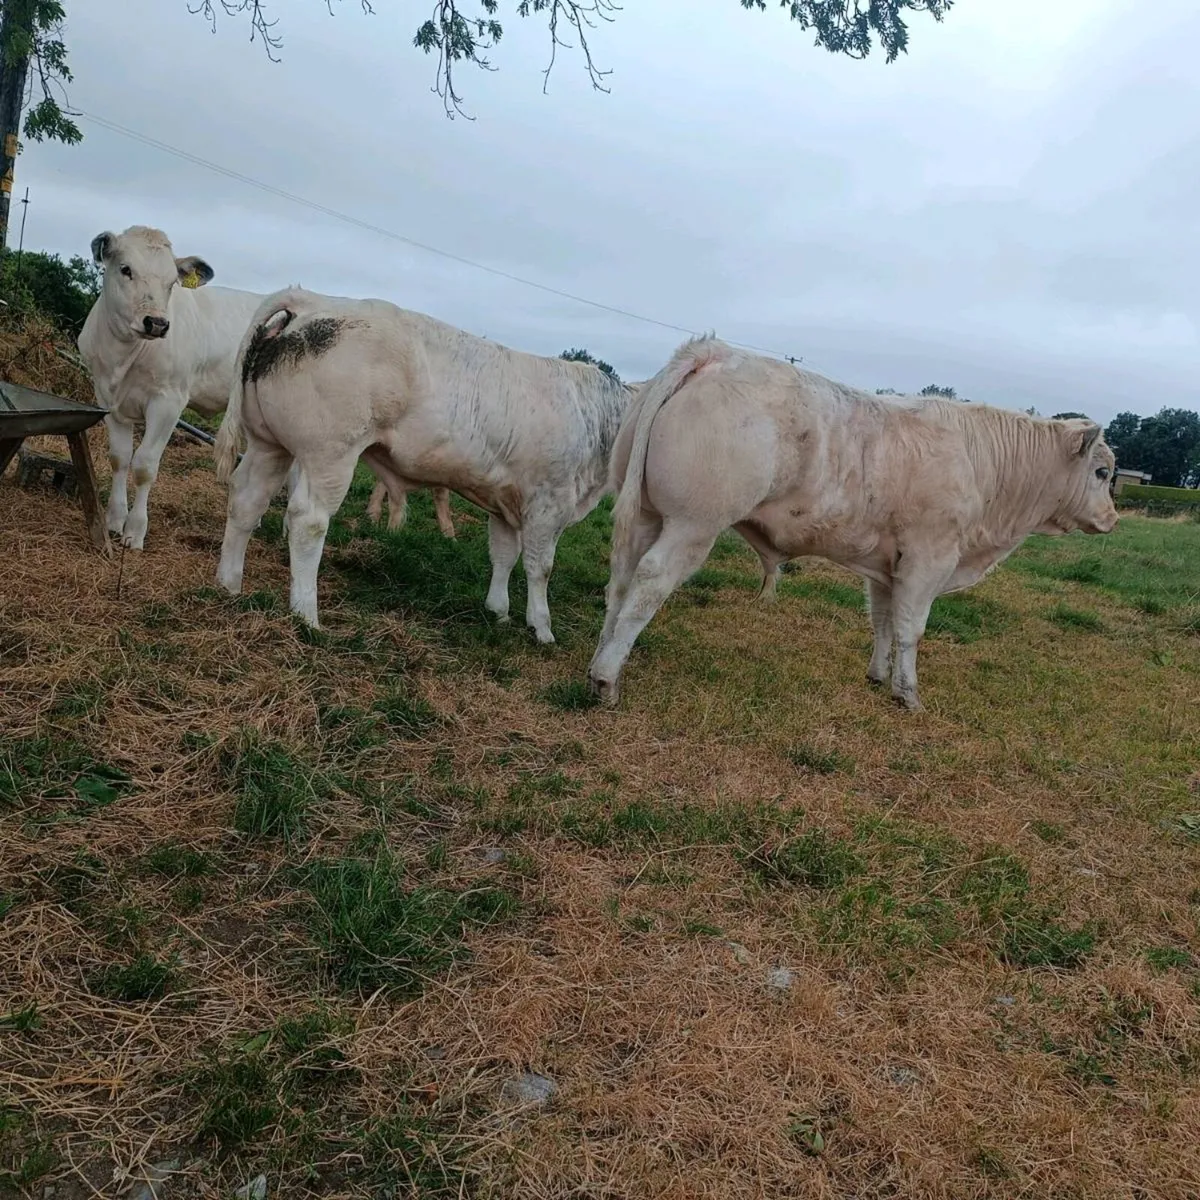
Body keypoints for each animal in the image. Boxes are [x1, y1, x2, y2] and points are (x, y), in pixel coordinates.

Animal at [77, 225, 454, 549]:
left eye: (172, 282)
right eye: (125, 269)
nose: (156, 323)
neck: (122, 358)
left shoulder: (169, 400)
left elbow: (144, 465)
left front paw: (135, 531)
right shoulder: (107, 397)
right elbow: (119, 458)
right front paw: (113, 520)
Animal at [212, 287, 638, 639]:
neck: (595, 416)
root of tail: (312, 300)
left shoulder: (506, 501)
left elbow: (504, 555)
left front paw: (498, 611)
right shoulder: (549, 502)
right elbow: (540, 566)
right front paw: (541, 627)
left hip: (269, 445)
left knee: (246, 500)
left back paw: (228, 584)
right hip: (329, 454)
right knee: (307, 521)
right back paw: (306, 616)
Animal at [587, 336, 1118, 712]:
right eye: (1102, 471)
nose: (1112, 519)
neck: (979, 463)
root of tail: (713, 351)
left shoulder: (887, 565)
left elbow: (882, 621)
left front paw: (878, 676)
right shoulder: (929, 558)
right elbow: (910, 629)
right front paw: (908, 694)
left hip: (647, 514)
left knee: (621, 578)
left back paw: (598, 658)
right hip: (692, 523)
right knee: (649, 581)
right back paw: (607, 677)